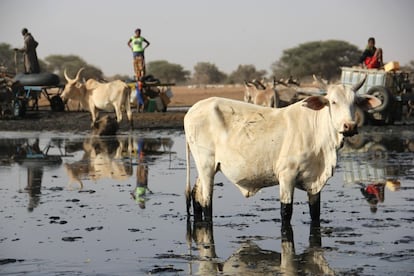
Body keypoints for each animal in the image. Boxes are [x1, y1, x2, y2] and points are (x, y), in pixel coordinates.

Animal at [184, 76, 382, 224]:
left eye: (355, 102)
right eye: (333, 102)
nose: (350, 126)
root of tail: (192, 110)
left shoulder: (315, 182)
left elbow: (315, 213)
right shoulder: (287, 176)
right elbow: (286, 213)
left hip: (207, 167)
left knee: (196, 196)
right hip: (206, 165)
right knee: (206, 202)